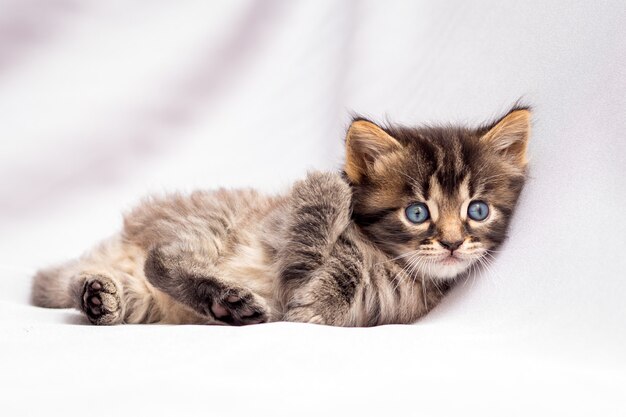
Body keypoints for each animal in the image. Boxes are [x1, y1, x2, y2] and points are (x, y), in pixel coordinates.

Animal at [28, 106, 528, 324]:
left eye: (477, 210)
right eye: (418, 211)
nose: (452, 242)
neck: (382, 257)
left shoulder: (305, 303)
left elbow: (303, 277)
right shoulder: (279, 221)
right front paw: (330, 184)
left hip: (156, 293)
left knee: (139, 275)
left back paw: (104, 297)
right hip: (211, 223)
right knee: (159, 259)